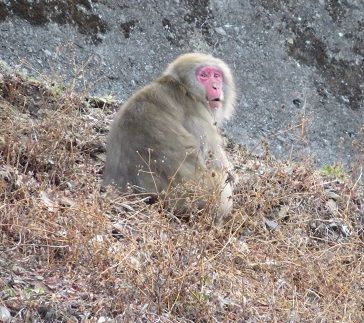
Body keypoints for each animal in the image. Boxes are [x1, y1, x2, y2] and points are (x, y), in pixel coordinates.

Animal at [104, 53, 237, 225]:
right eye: (204, 75)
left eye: (216, 75)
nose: (216, 86)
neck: (184, 88)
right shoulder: (197, 114)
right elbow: (215, 163)